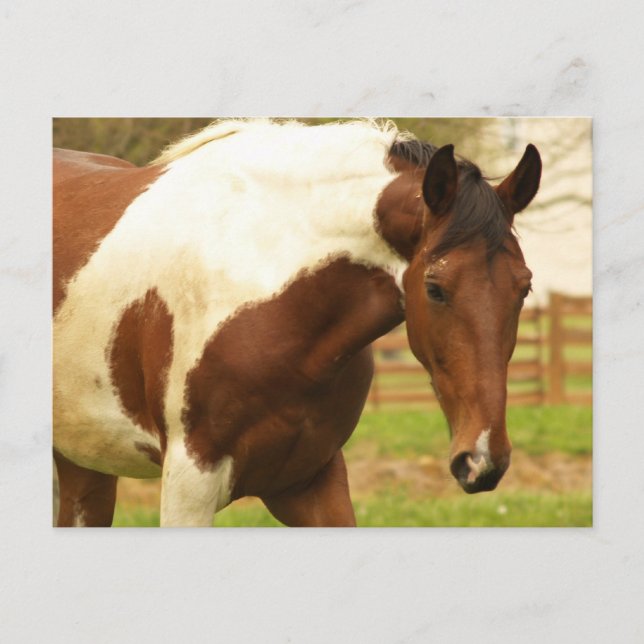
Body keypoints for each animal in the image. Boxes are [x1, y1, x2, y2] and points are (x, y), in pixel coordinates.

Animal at [53, 119, 541, 527]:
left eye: (524, 287)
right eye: (435, 288)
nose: (481, 460)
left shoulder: (311, 479)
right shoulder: (189, 483)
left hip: (84, 463)